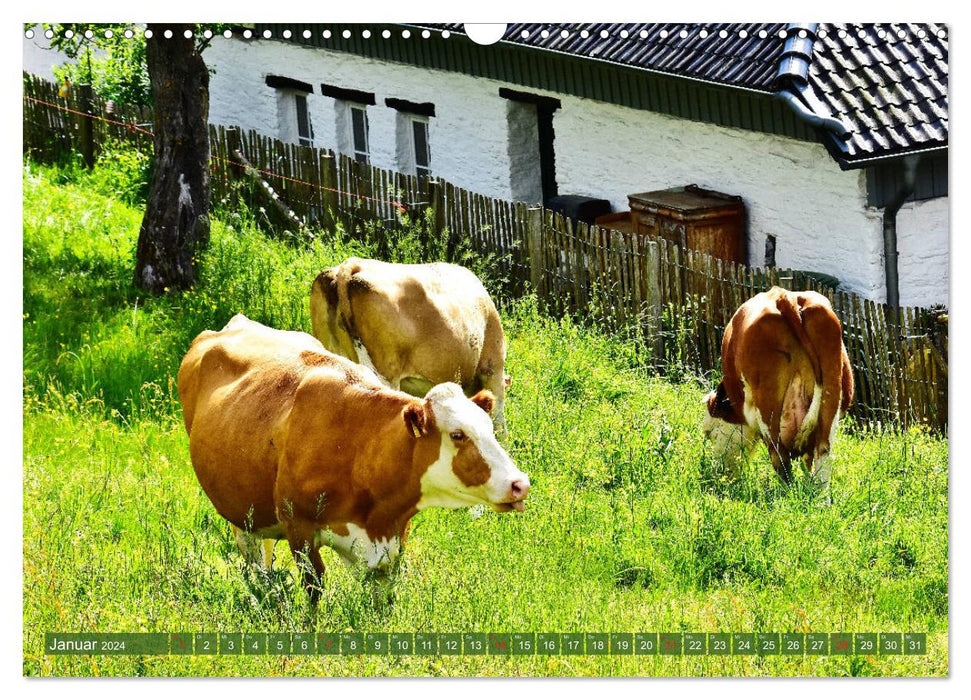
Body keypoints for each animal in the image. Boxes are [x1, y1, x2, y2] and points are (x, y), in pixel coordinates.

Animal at [180, 314, 532, 600]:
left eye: (489, 428)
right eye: (457, 434)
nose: (520, 484)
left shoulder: (391, 544)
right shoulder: (299, 528)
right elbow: (314, 591)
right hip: (240, 514)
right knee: (254, 563)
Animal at [704, 288, 856, 490]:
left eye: (709, 434)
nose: (719, 475)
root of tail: (784, 296)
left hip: (768, 408)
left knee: (780, 457)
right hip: (830, 397)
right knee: (823, 452)